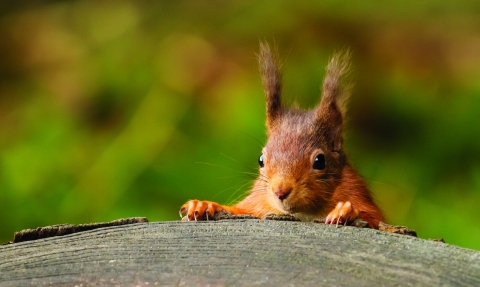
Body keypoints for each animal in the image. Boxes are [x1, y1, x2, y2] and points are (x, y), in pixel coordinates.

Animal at [181, 42, 386, 228]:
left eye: (320, 161)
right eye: (261, 160)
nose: (280, 191)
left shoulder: (355, 190)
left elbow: (373, 218)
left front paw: (345, 210)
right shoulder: (256, 203)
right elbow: (237, 209)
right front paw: (204, 204)